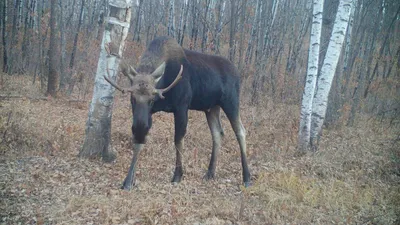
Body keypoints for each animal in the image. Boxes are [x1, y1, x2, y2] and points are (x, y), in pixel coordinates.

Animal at [104, 35, 252, 190]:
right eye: (133, 99)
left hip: (231, 102)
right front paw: (128, 181)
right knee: (217, 133)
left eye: (151, 100)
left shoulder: (181, 106)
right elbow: (140, 142)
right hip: (212, 108)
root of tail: (237, 72)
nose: (139, 127)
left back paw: (247, 177)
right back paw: (210, 173)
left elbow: (178, 140)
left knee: (240, 131)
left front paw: (177, 175)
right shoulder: (147, 116)